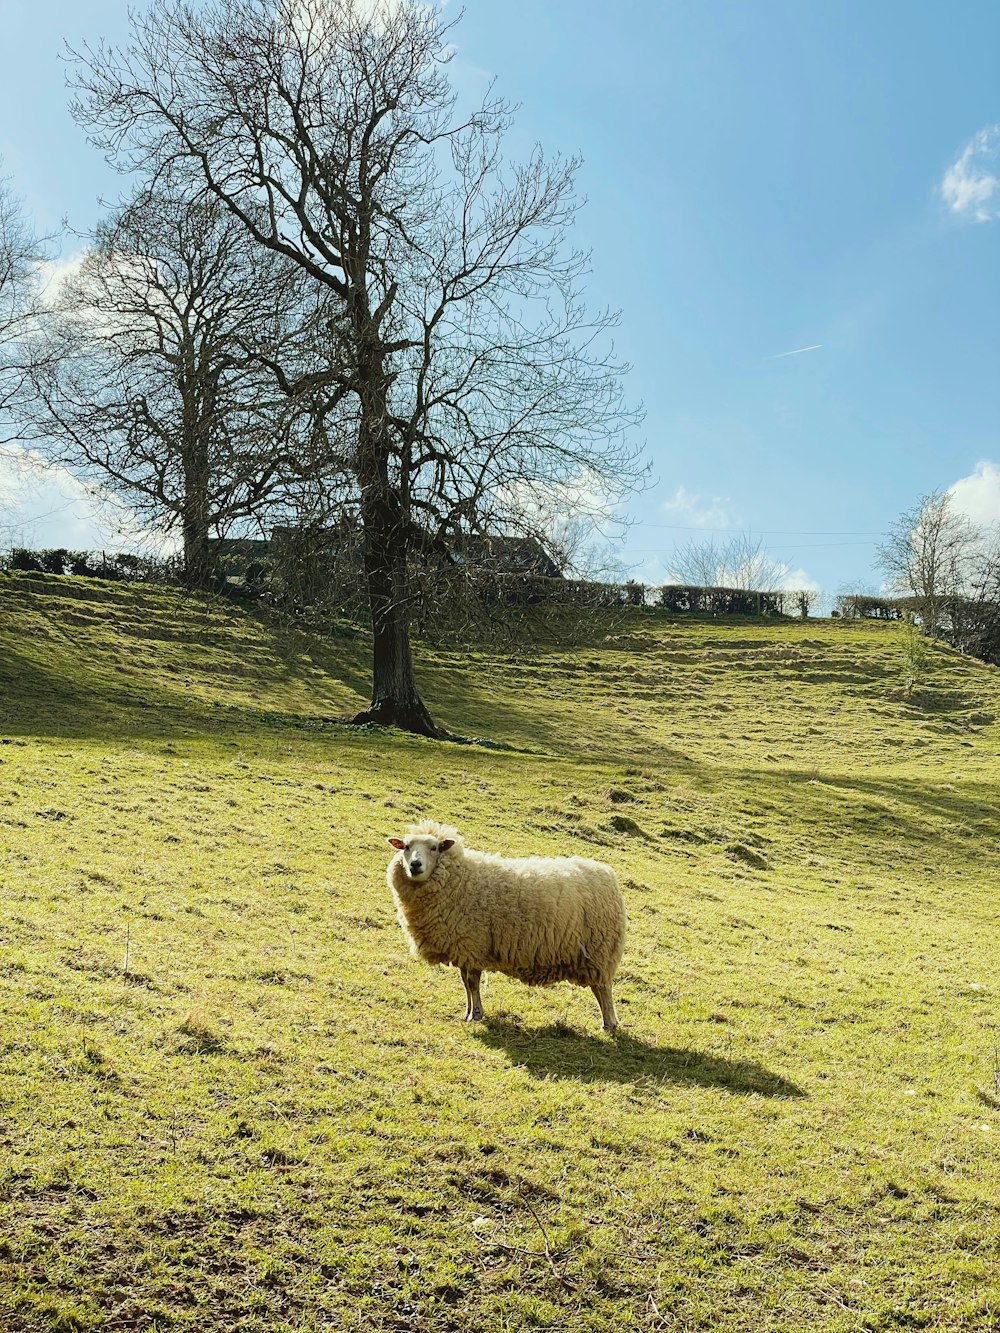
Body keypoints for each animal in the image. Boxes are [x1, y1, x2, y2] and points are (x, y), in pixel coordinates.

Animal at [386, 821, 626, 1029]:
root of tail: (607, 873)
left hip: (600, 951)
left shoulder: (473, 944)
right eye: (406, 846)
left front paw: (476, 1015)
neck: (459, 878)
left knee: (603, 989)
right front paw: (468, 1013)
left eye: (435, 847)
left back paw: (609, 1024)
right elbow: (465, 983)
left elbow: (472, 983)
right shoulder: (463, 948)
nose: (415, 865)